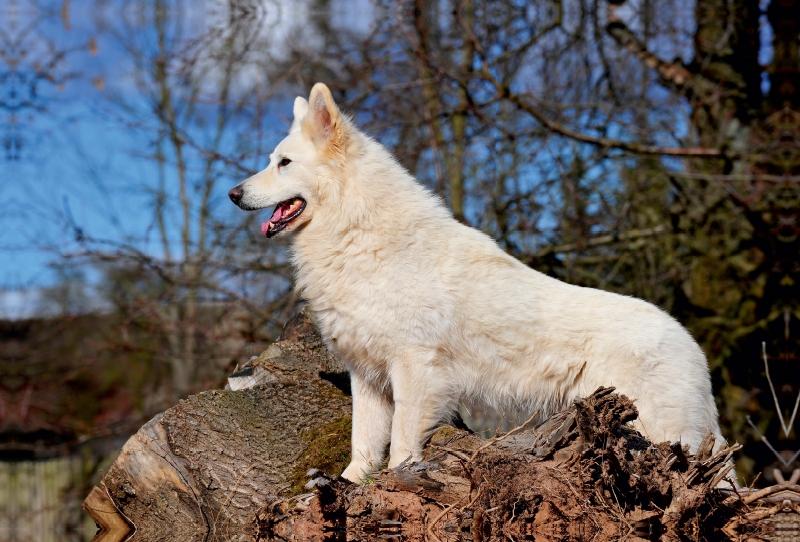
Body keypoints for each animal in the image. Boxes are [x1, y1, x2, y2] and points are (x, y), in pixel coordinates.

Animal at [228, 84, 728, 484]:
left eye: (283, 163)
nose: (233, 194)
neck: (357, 231)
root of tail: (690, 344)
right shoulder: (367, 377)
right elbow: (363, 442)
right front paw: (350, 483)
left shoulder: (415, 370)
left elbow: (402, 441)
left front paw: (397, 479)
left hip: (660, 433)